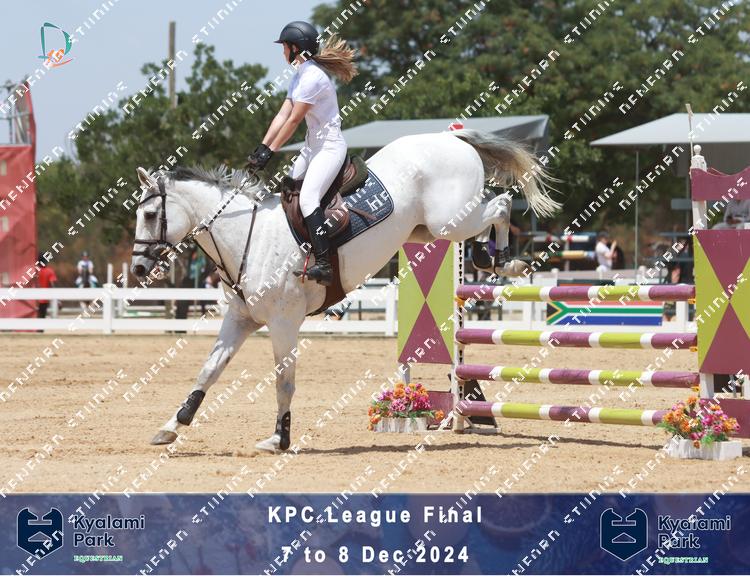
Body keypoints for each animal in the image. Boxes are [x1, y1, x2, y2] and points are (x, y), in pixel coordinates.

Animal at [130, 129, 559, 452]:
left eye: (150, 215)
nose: (136, 268)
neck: (246, 237)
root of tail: (449, 137)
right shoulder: (241, 319)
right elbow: (209, 370)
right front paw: (174, 424)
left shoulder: (284, 323)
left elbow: (284, 382)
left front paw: (279, 438)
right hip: (427, 229)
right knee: (493, 209)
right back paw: (492, 258)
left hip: (451, 220)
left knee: (500, 205)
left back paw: (503, 260)